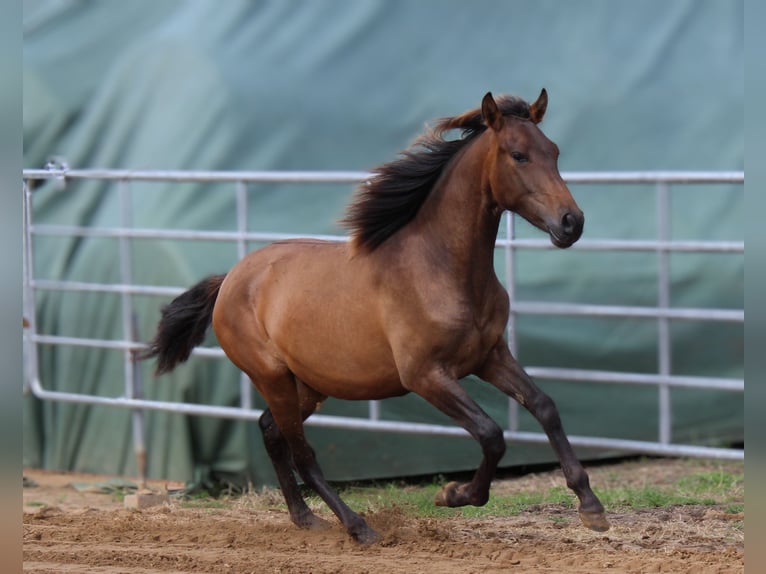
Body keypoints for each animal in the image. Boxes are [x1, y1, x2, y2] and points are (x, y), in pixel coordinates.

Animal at [144, 89, 612, 544]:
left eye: (553, 151)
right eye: (518, 155)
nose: (571, 223)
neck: (440, 268)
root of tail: (230, 279)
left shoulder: (489, 356)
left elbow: (544, 406)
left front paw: (591, 507)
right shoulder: (425, 375)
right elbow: (491, 434)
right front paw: (454, 494)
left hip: (308, 384)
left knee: (270, 431)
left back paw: (305, 518)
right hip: (271, 377)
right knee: (302, 452)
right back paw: (358, 527)